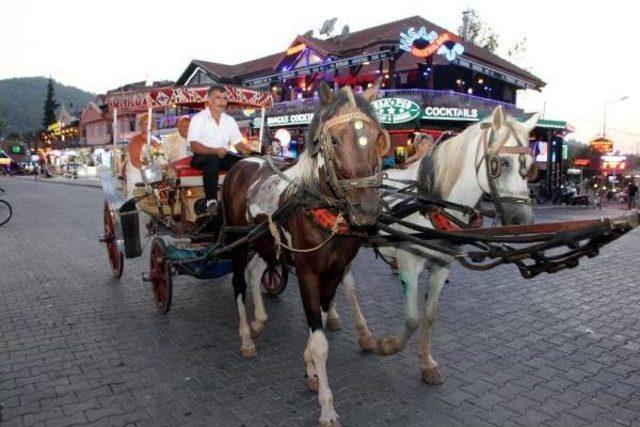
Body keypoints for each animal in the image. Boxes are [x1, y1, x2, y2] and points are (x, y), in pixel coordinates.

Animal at [222, 82, 388, 426]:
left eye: (377, 138)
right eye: (334, 140)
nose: (366, 209)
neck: (318, 206)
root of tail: (242, 162)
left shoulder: (334, 273)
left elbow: (320, 324)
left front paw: (310, 368)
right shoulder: (308, 273)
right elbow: (321, 342)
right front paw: (327, 406)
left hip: (266, 243)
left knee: (256, 273)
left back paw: (259, 319)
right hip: (239, 242)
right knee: (239, 284)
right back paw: (246, 336)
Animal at [330, 106, 540, 384]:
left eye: (530, 167)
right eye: (501, 162)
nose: (522, 221)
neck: (431, 203)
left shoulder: (441, 266)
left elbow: (429, 316)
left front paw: (427, 364)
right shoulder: (407, 261)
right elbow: (412, 318)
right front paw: (388, 346)